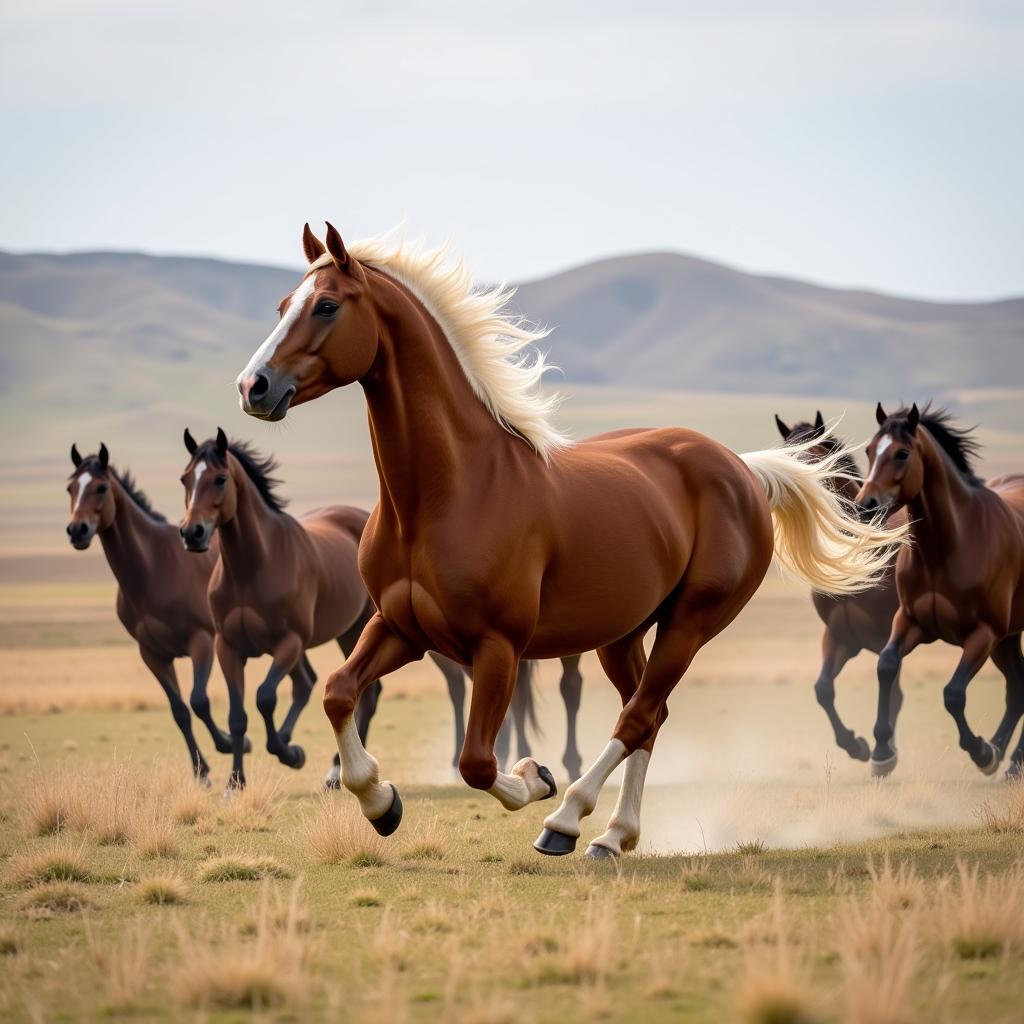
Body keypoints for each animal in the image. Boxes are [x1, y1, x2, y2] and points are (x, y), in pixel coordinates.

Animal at [65, 444, 236, 778]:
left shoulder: (201, 642)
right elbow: (179, 711)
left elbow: (199, 701)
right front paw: (201, 771)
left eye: (101, 487)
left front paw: (231, 743)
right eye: (71, 488)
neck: (155, 569)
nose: (77, 530)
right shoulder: (152, 654)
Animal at [234, 224, 905, 856]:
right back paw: (615, 836)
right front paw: (381, 802)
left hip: (689, 623)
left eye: (326, 306)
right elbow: (338, 693)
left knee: (637, 717)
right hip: (622, 634)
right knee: (649, 715)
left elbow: (477, 762)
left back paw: (567, 822)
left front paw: (536, 778)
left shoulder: (498, 646)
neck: (451, 490)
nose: (253, 387)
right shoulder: (400, 627)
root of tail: (742, 468)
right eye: (283, 305)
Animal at [856, 403, 1024, 778]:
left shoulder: (983, 634)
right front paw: (882, 753)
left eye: (902, 453)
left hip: (1001, 639)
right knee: (1018, 688)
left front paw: (981, 752)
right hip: (1008, 640)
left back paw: (1005, 758)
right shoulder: (910, 621)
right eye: (870, 450)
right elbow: (886, 666)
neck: (949, 547)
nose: (865, 506)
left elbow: (953, 694)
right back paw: (1008, 758)